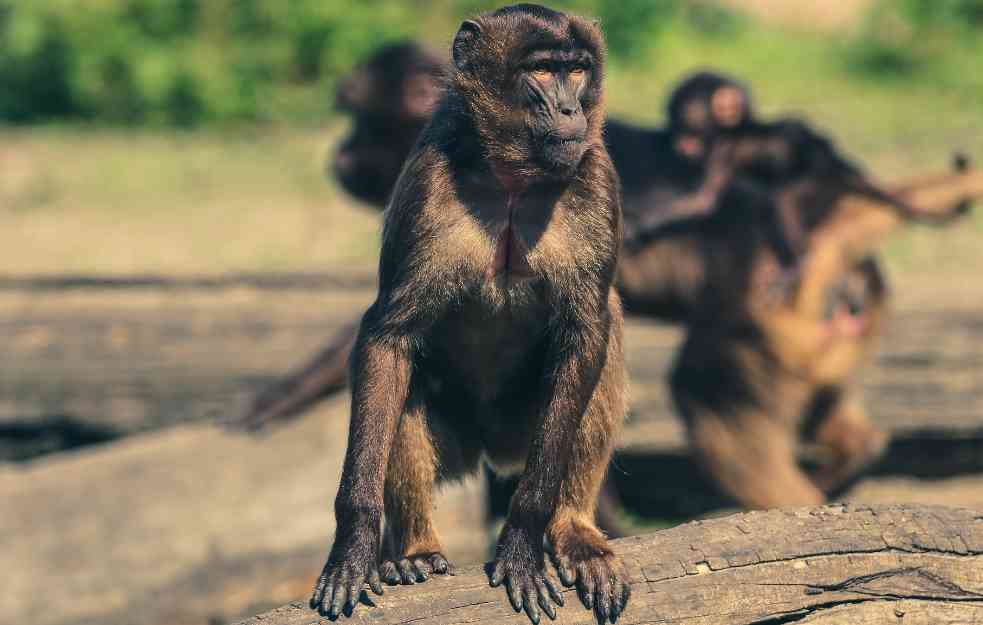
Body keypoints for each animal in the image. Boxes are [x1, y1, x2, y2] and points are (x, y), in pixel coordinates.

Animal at [310, 6, 632, 624]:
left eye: (577, 70)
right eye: (542, 70)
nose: (571, 110)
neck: (511, 180)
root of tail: (491, 448)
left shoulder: (597, 177)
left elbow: (587, 332)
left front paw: (524, 539)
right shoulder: (427, 182)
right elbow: (387, 339)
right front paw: (354, 545)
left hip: (522, 430)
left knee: (605, 338)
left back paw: (573, 529)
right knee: (402, 379)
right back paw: (415, 550)